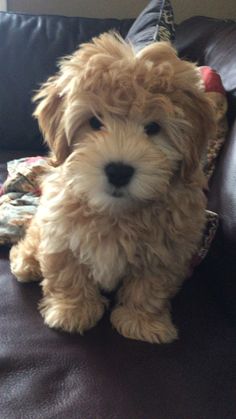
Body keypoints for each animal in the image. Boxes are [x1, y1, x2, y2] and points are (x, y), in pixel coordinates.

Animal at [9, 33, 216, 344]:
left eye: (153, 128)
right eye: (95, 122)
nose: (119, 171)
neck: (115, 212)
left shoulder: (167, 250)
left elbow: (150, 287)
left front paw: (143, 323)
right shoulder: (60, 231)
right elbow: (67, 273)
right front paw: (72, 311)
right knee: (32, 239)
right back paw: (25, 262)